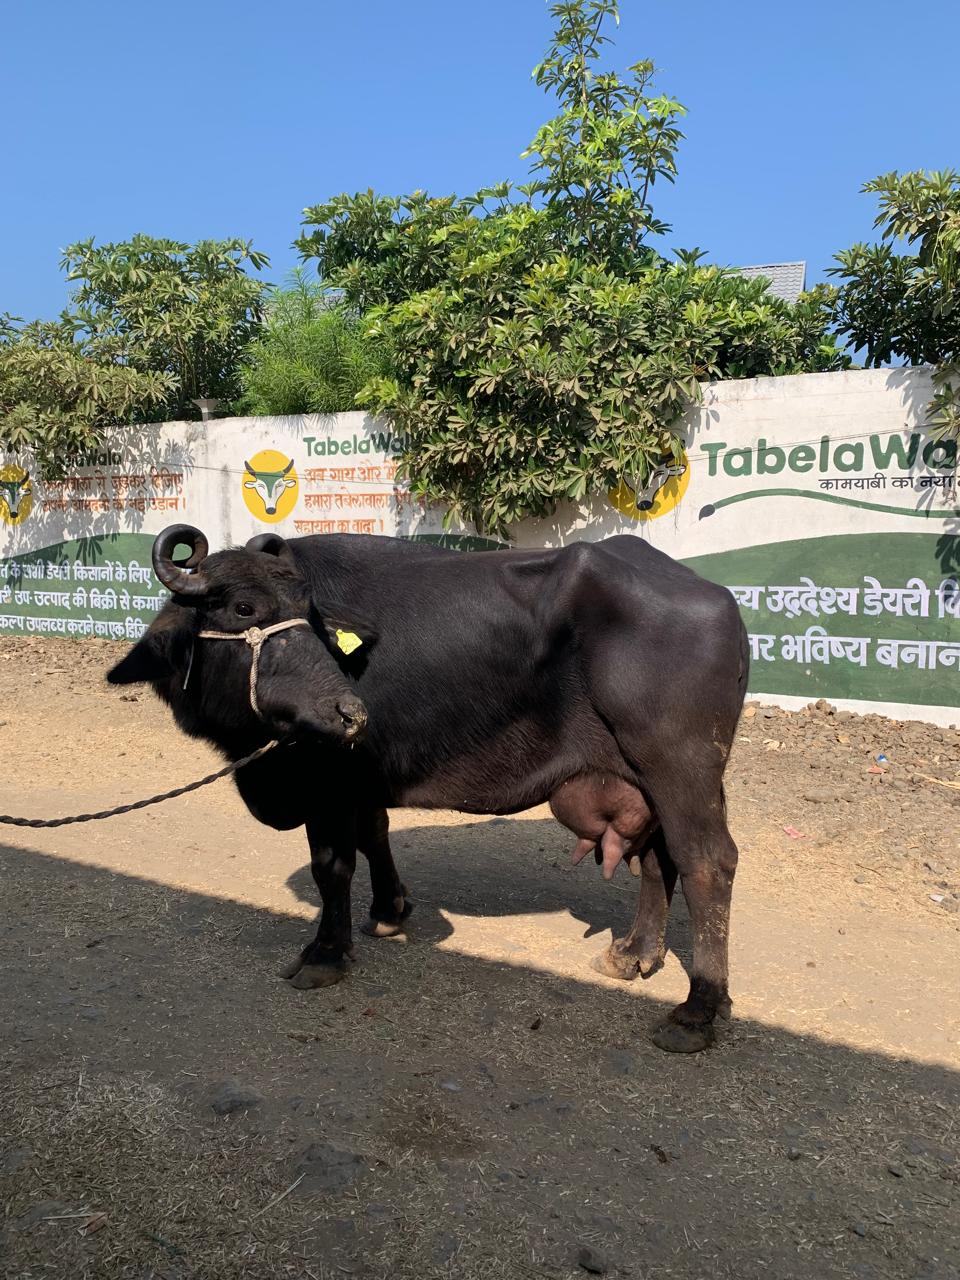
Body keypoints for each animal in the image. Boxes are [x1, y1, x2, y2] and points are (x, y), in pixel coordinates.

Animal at [108, 523, 748, 1053]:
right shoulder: (361, 782)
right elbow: (374, 834)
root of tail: (720, 600)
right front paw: (390, 909)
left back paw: (697, 1009)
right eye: (243, 607)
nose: (348, 713)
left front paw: (325, 952)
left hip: (680, 766)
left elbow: (331, 865)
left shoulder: (326, 783)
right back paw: (635, 954)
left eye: (306, 613)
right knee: (658, 857)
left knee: (705, 861)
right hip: (645, 778)